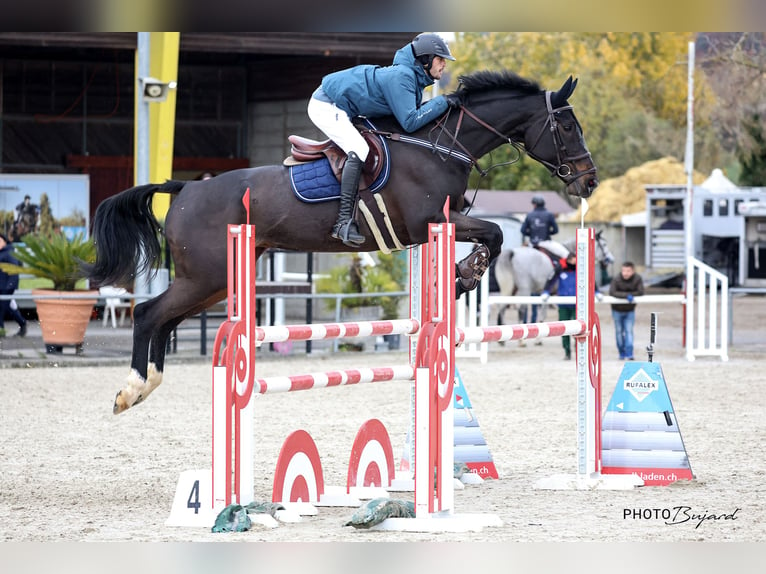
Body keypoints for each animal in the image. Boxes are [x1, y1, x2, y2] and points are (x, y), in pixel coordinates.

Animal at [84, 71, 600, 414]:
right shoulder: (429, 221)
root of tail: (185, 188)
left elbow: (492, 233)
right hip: (206, 275)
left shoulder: (440, 222)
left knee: (164, 320)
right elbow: (493, 231)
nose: (589, 181)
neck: (441, 145)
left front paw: (461, 275)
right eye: (567, 127)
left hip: (212, 280)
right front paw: (463, 275)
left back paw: (145, 385)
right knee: (148, 314)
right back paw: (130, 389)